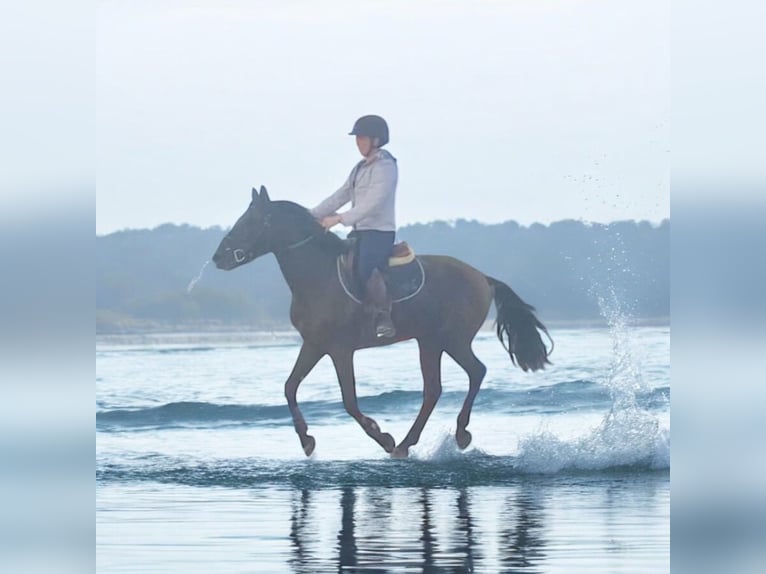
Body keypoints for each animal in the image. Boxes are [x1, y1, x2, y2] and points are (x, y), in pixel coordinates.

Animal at [213, 188, 556, 460]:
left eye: (250, 221)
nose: (219, 257)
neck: (318, 276)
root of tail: (482, 277)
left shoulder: (340, 349)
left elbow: (349, 400)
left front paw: (382, 437)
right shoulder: (314, 345)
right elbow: (289, 387)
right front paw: (307, 440)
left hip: (451, 340)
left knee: (475, 372)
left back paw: (451, 435)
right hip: (430, 342)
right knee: (435, 389)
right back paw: (409, 443)